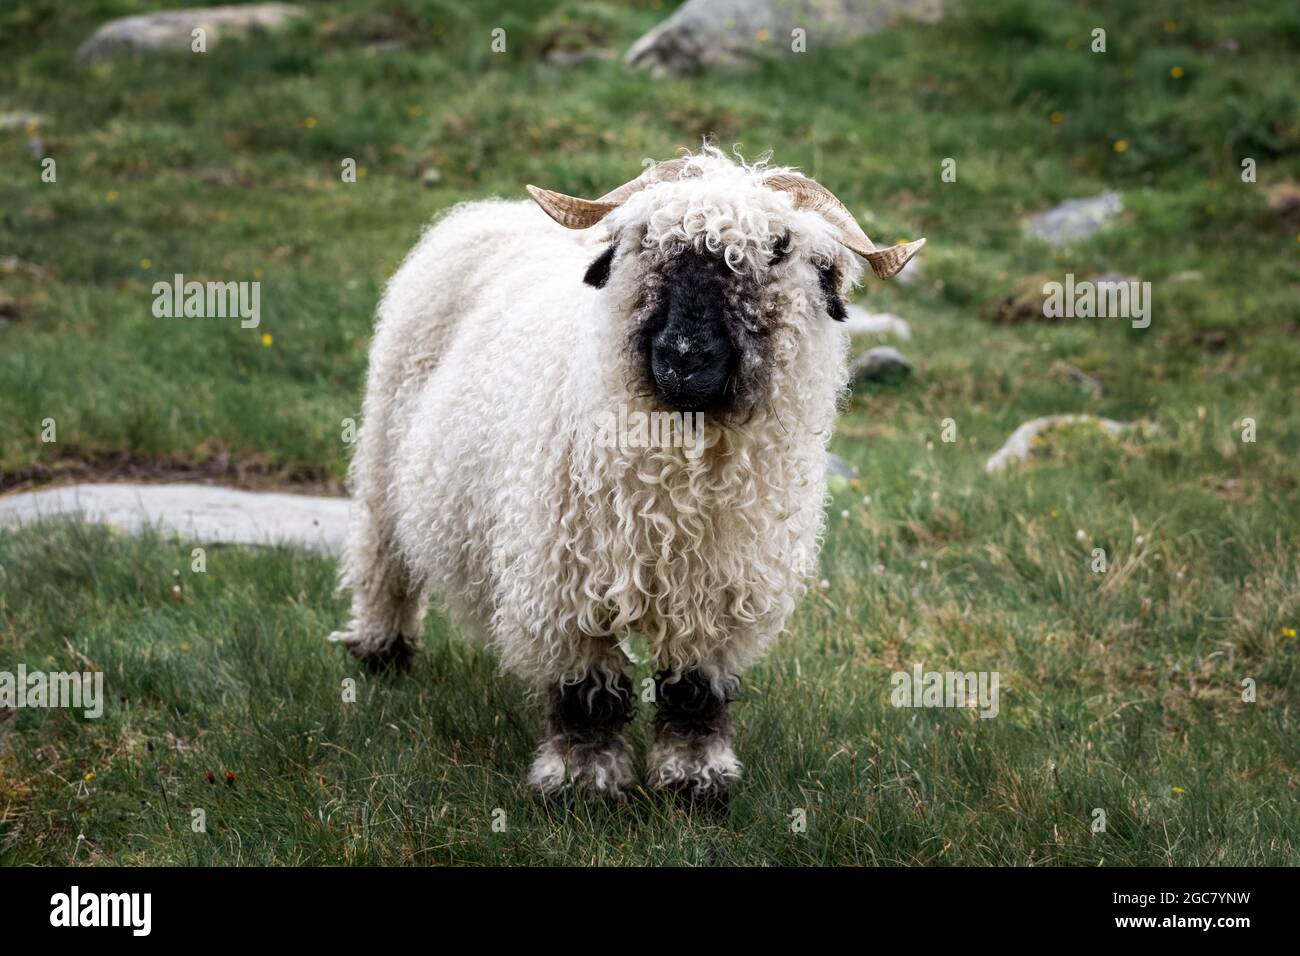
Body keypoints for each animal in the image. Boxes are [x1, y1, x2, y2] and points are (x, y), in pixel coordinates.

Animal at [335, 143, 925, 801]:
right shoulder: (565, 580)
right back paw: (382, 651)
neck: (677, 476)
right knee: (383, 557)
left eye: (778, 249)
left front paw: (695, 781)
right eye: (646, 240)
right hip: (384, 448)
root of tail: (485, 210)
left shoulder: (719, 590)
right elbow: (587, 691)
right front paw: (582, 783)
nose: (684, 357)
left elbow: (694, 690)